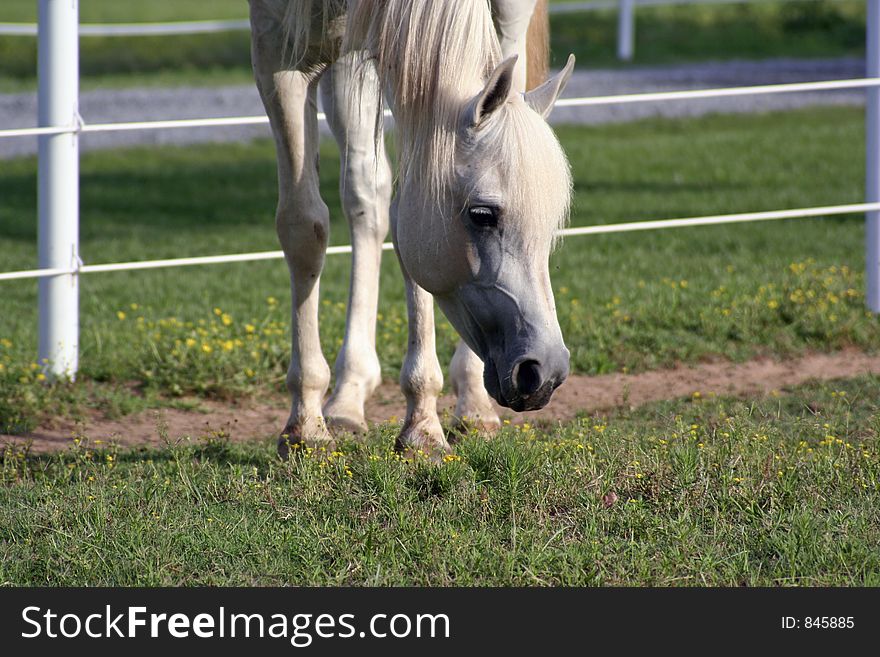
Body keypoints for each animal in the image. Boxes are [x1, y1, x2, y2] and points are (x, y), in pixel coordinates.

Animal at [249, 0, 576, 454]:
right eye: (482, 215)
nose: (544, 372)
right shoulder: (278, 50)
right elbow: (303, 227)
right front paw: (305, 427)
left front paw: (423, 426)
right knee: (365, 194)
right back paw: (348, 397)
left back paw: (472, 404)